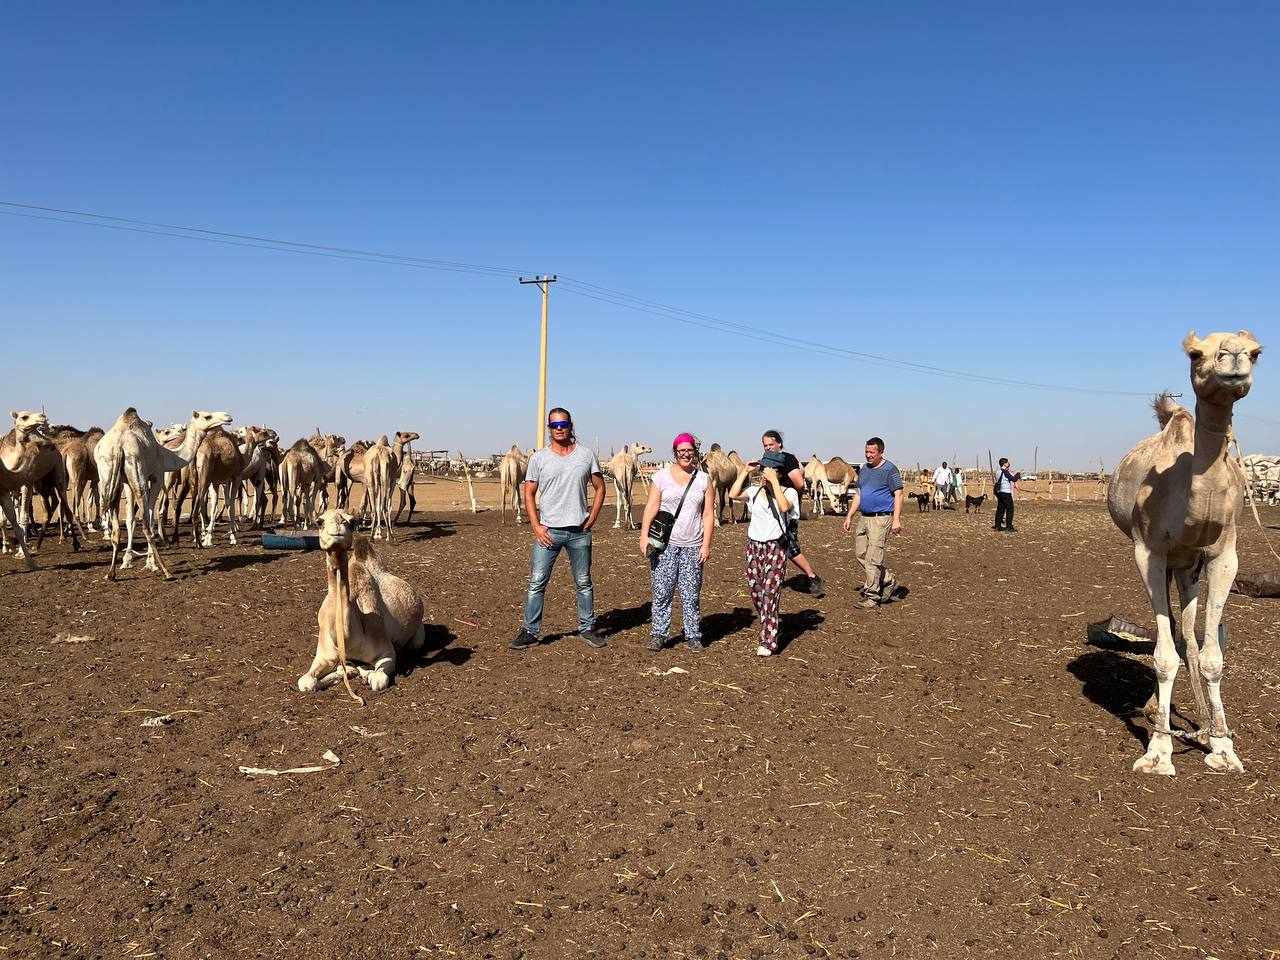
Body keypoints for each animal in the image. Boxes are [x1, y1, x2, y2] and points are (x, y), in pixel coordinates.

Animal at [97, 407, 235, 578]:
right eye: (207, 416)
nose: (228, 417)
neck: (167, 455)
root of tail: (118, 444)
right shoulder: (156, 476)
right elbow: (151, 517)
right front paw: (151, 564)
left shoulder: (125, 482)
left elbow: (132, 518)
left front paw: (132, 561)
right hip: (137, 471)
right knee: (146, 525)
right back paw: (166, 570)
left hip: (107, 477)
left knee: (115, 525)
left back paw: (111, 573)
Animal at [298, 512, 424, 701]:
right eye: (319, 521)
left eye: (352, 521)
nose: (338, 524)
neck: (348, 640)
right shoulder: (324, 654)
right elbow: (306, 682)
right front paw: (343, 673)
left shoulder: (387, 651)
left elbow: (378, 680)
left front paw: (363, 673)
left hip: (418, 634)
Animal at [1105, 330, 1264, 773]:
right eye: (1195, 354)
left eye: (1256, 353)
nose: (1233, 358)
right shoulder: (1148, 552)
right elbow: (1162, 655)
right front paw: (1158, 752)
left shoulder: (1223, 555)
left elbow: (1211, 655)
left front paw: (1223, 747)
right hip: (1168, 563)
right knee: (1174, 634)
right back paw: (1158, 711)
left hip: (1188, 567)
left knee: (1189, 638)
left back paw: (1202, 723)